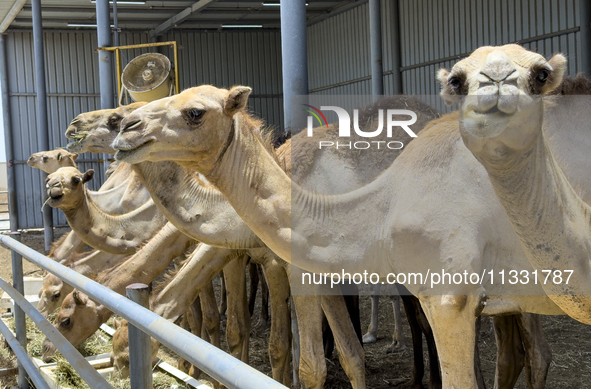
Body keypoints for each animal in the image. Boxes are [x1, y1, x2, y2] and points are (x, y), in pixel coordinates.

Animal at [112, 83, 591, 386]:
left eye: (195, 112)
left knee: (533, 352)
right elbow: (346, 354)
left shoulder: (299, 270)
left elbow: (307, 359)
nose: (123, 125)